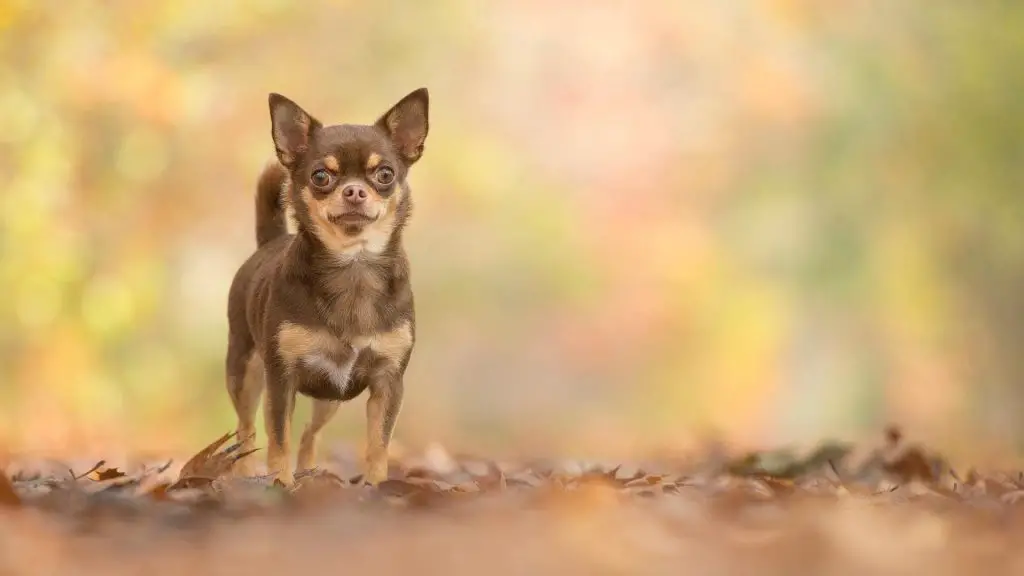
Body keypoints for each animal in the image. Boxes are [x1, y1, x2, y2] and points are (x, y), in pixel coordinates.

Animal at [224, 87, 428, 483]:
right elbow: (278, 439)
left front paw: (375, 485)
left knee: (309, 433)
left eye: (385, 174)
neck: (354, 266)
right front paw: (280, 484)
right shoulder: (281, 379)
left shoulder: (388, 382)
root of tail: (271, 240)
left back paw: (309, 473)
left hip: (330, 396)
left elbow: (378, 443)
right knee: (247, 429)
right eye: (320, 177)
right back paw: (244, 475)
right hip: (245, 372)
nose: (354, 191)